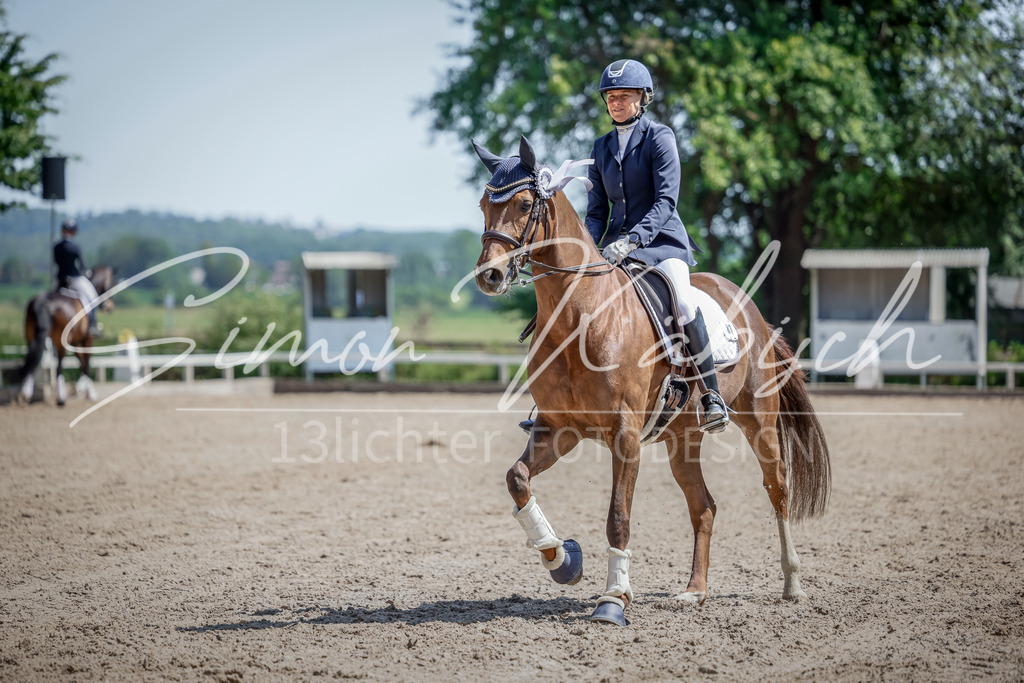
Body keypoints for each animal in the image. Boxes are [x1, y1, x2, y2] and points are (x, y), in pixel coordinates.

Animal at [15, 266, 116, 406]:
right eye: (112, 282)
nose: (110, 307)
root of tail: (42, 301)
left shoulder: (75, 342)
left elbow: (81, 362)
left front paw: (80, 389)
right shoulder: (86, 340)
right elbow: (86, 364)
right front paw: (89, 392)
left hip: (32, 337)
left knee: (33, 360)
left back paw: (25, 394)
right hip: (60, 342)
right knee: (58, 367)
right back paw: (61, 399)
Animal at [471, 136, 831, 626]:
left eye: (526, 204)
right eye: (483, 205)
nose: (489, 276)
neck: (580, 317)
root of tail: (748, 306)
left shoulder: (625, 435)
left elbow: (618, 516)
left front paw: (613, 600)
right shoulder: (559, 428)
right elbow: (518, 479)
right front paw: (562, 559)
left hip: (760, 423)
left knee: (778, 490)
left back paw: (793, 583)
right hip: (683, 439)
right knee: (704, 507)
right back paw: (694, 592)